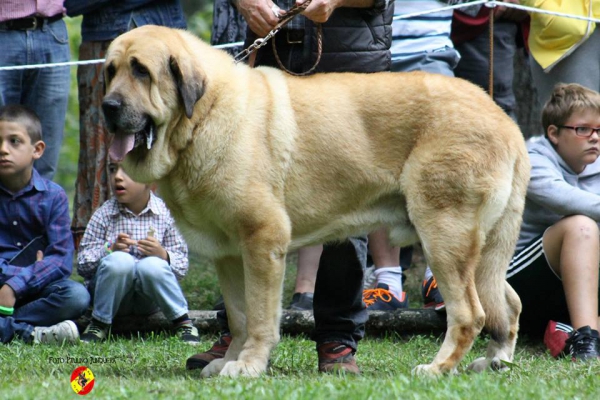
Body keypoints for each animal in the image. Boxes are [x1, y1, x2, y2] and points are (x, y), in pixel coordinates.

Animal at [102, 25, 528, 378]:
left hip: (444, 235)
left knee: (470, 313)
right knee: (507, 304)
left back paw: (438, 368)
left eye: (141, 71)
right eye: (110, 71)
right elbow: (239, 316)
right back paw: (495, 361)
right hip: (483, 251)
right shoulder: (230, 254)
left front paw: (248, 365)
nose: (107, 107)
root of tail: (506, 122)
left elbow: (260, 317)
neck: (201, 118)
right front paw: (229, 359)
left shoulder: (263, 241)